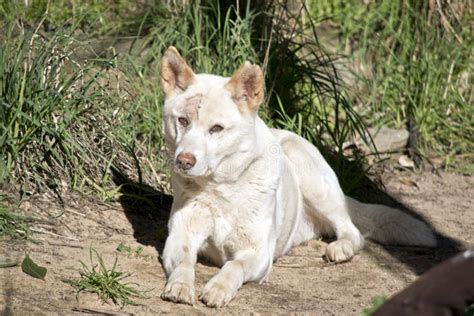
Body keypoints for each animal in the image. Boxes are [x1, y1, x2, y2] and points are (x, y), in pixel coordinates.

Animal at [160, 48, 436, 308]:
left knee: (352, 231)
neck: (221, 190)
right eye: (182, 120)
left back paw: (341, 247)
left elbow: (233, 267)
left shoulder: (258, 253)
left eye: (216, 129)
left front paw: (218, 288)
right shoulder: (178, 240)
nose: (184, 160)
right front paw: (180, 286)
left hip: (311, 178)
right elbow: (184, 262)